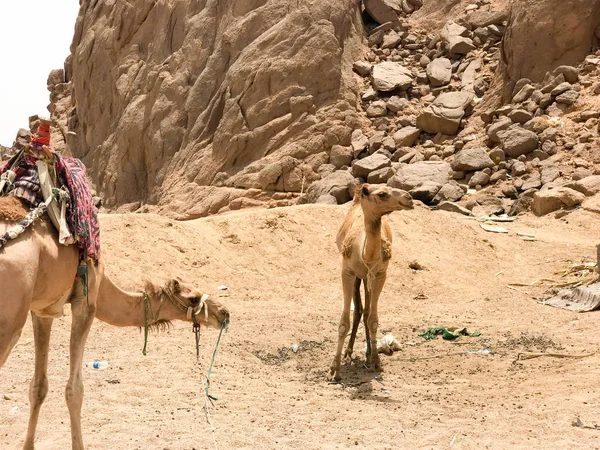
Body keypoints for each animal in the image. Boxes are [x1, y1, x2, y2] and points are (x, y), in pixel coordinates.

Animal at [328, 181, 412, 382]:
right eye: (382, 194)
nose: (409, 198)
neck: (363, 251)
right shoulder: (347, 272)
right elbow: (343, 322)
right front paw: (334, 370)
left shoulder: (380, 274)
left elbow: (373, 318)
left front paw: (375, 361)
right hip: (359, 276)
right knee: (358, 309)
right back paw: (348, 353)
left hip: (368, 277)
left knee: (365, 311)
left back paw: (366, 354)